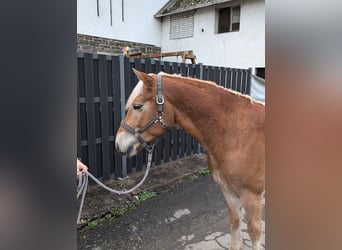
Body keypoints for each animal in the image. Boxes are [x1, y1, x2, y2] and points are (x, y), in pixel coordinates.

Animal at [115, 69, 264, 250]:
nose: (118, 143)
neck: (236, 132)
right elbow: (235, 223)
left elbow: (254, 232)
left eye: (137, 106)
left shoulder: (252, 196)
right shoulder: (228, 191)